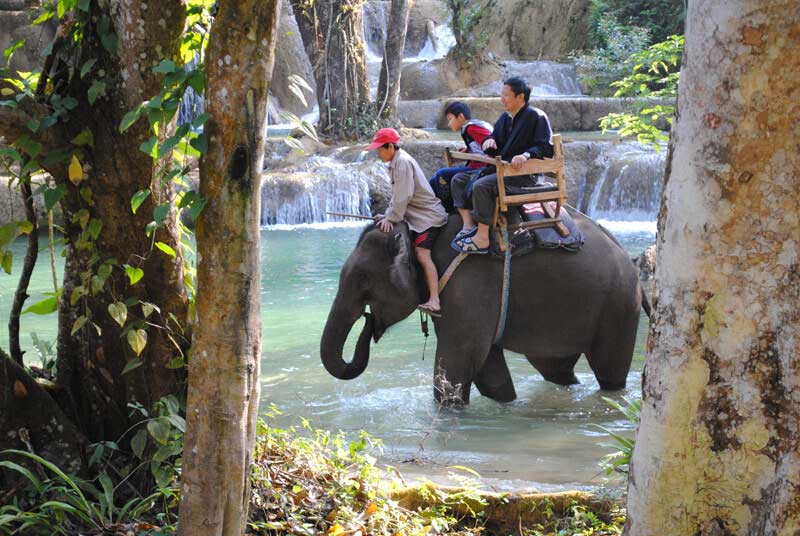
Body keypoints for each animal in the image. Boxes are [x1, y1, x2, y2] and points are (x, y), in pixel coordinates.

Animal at [318, 209, 644, 402]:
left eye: (363, 280)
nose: (368, 321)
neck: (419, 234)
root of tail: (626, 253)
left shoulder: (468, 284)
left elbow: (457, 367)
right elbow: (489, 374)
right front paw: (507, 402)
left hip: (619, 306)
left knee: (609, 370)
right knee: (555, 368)